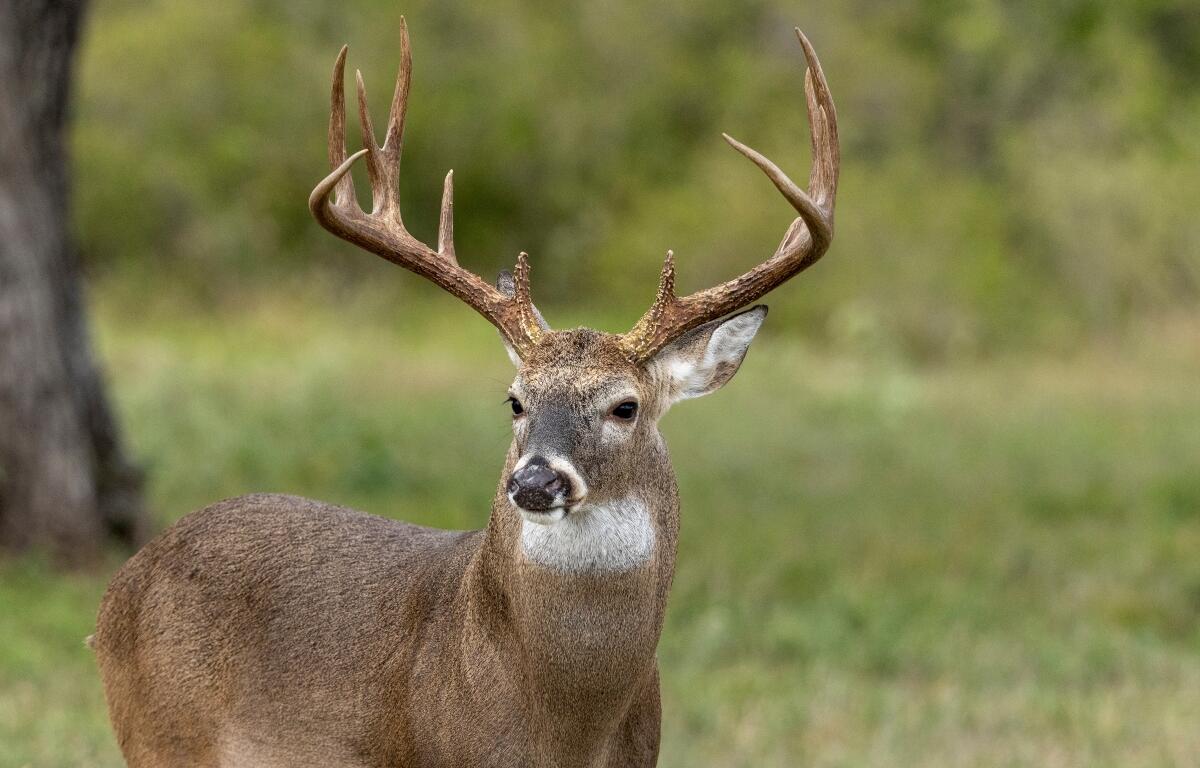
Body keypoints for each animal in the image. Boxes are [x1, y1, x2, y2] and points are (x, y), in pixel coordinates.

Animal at [92, 17, 838, 768]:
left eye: (625, 406)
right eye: (515, 400)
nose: (535, 481)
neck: (563, 729)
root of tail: (117, 590)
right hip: (160, 737)